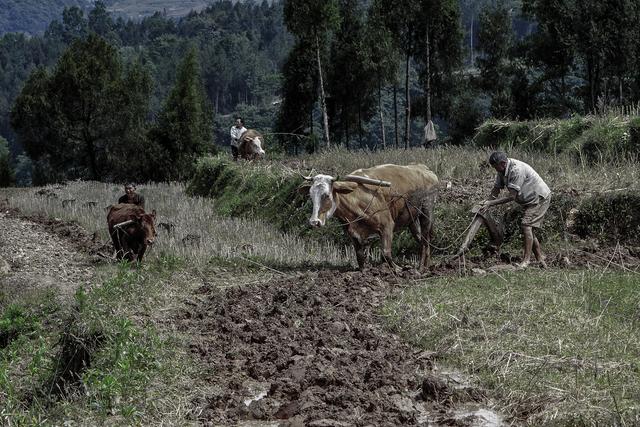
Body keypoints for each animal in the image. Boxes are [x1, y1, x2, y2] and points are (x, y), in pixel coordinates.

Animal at [300, 164, 440, 270]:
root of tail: (425, 170)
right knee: (421, 240)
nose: (314, 221)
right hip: (412, 220)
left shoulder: (387, 225)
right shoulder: (352, 232)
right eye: (311, 195)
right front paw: (365, 271)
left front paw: (398, 269)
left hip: (427, 212)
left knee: (425, 240)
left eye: (327, 195)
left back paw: (421, 268)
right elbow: (359, 255)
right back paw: (426, 266)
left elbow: (385, 253)